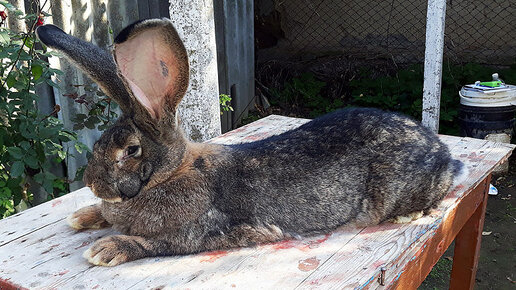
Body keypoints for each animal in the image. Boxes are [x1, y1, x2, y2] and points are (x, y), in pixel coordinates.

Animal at [36, 18, 464, 268]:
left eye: (131, 150)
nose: (92, 184)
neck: (172, 173)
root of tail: (443, 152)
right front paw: (83, 216)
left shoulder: (195, 233)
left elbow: (155, 244)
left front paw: (106, 249)